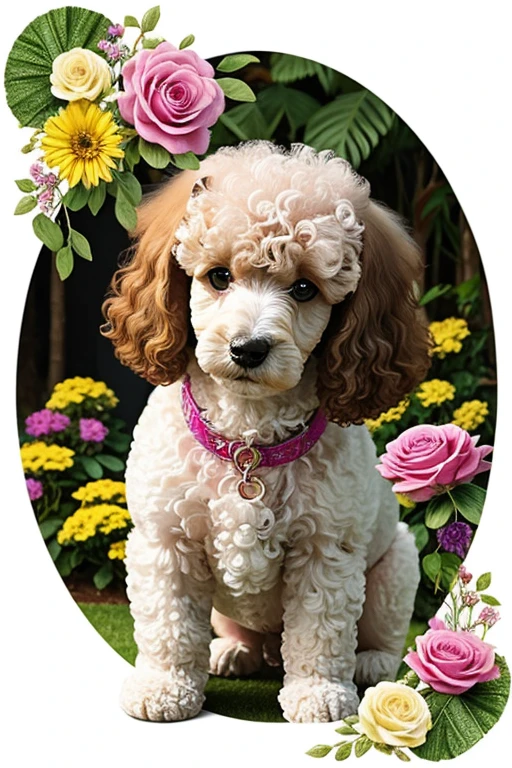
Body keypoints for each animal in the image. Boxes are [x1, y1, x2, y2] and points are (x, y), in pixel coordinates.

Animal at [102, 141, 430, 724]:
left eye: (304, 288)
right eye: (217, 277)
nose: (248, 349)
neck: (248, 441)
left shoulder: (326, 548)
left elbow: (321, 629)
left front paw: (319, 695)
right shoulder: (166, 539)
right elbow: (168, 622)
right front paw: (164, 686)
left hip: (397, 561)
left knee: (379, 632)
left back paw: (370, 663)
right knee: (243, 635)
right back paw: (234, 651)